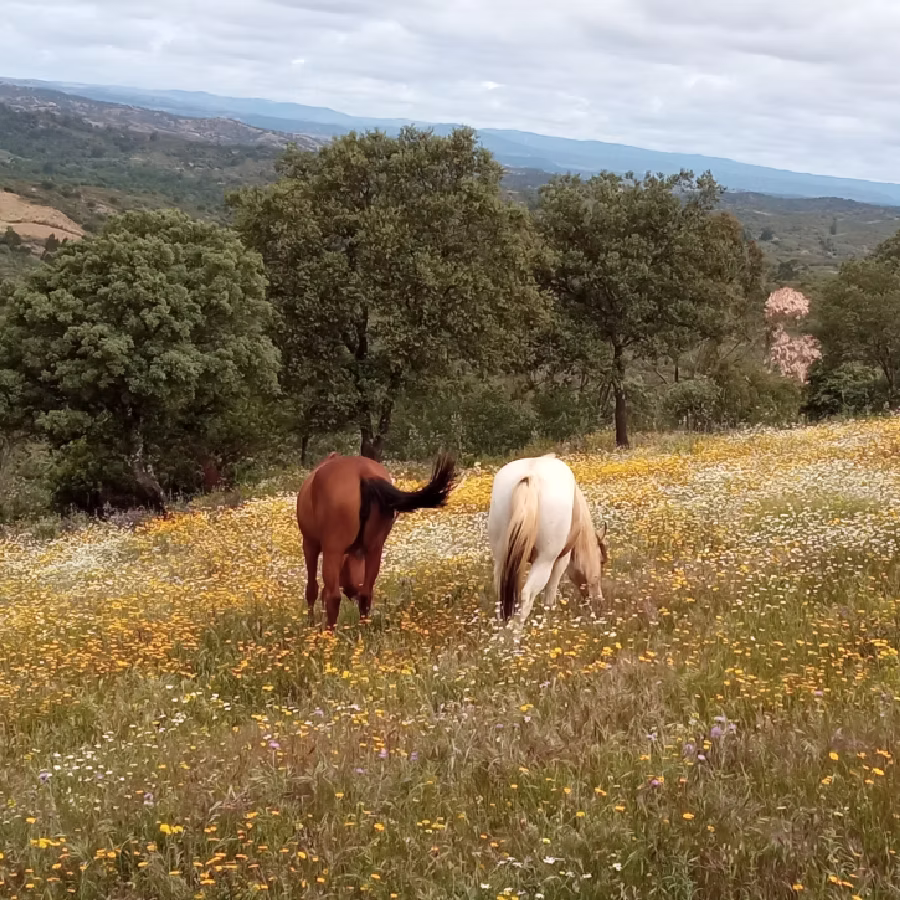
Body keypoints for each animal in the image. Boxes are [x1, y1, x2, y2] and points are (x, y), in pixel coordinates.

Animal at [297, 451, 456, 629]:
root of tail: (364, 474)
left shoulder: (310, 544)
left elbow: (313, 589)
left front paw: (311, 624)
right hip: (375, 549)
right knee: (366, 594)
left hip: (333, 549)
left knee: (333, 597)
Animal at [487, 454, 608, 631]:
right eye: (600, 562)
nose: (598, 600)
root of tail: (530, 475)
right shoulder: (561, 560)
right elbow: (550, 596)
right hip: (545, 561)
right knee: (526, 596)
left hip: (501, 559)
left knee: (502, 596)